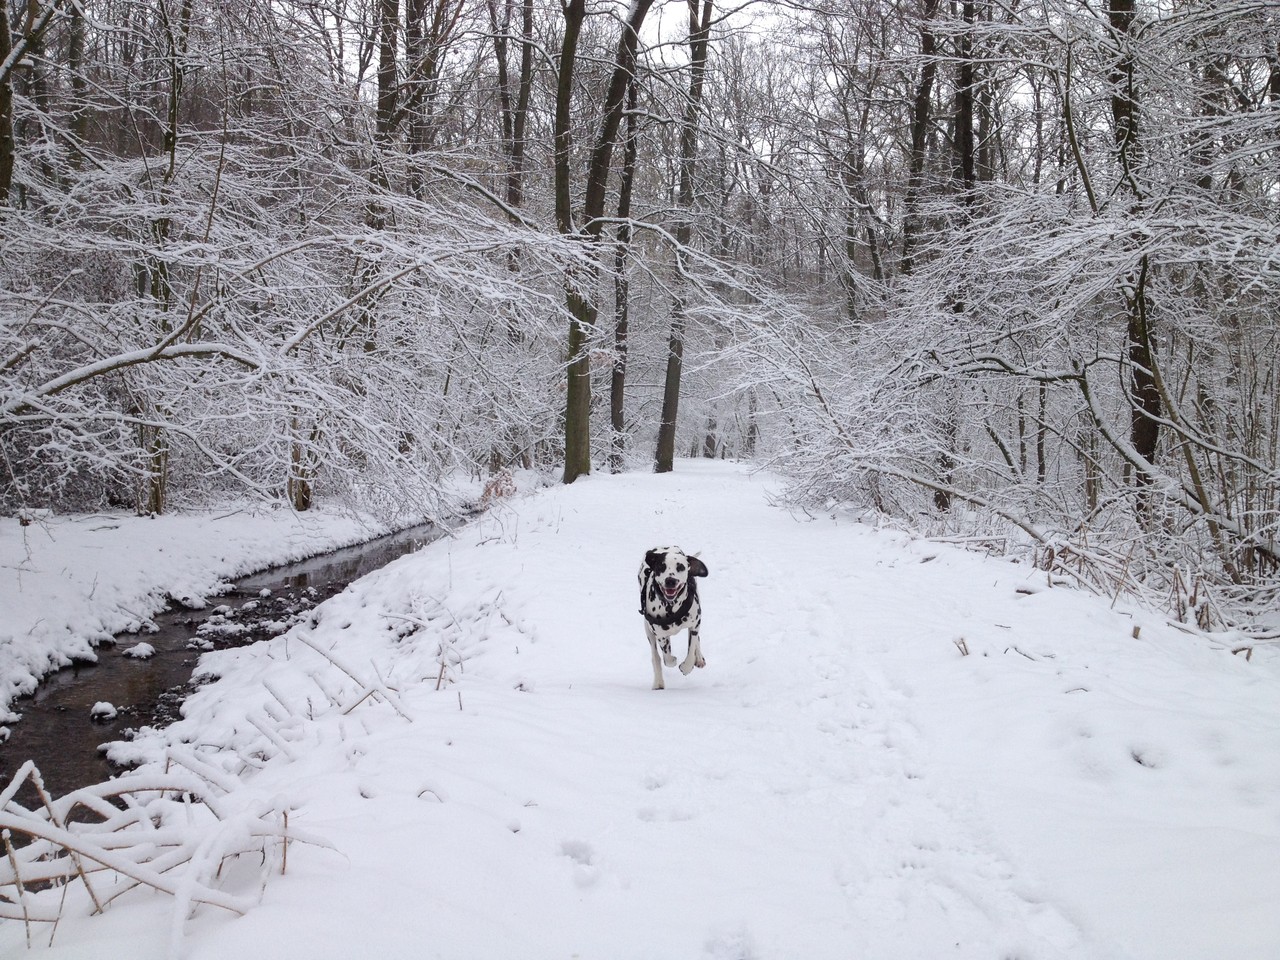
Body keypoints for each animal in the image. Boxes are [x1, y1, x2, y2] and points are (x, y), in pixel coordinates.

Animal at [640, 547, 711, 691]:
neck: (671, 606)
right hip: (648, 630)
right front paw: (672, 660)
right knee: (655, 656)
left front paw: (686, 667)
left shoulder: (695, 624)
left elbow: (691, 649)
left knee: (697, 640)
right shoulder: (660, 634)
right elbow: (667, 658)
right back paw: (658, 682)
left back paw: (699, 658)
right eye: (661, 566)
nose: (670, 580)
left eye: (681, 567)